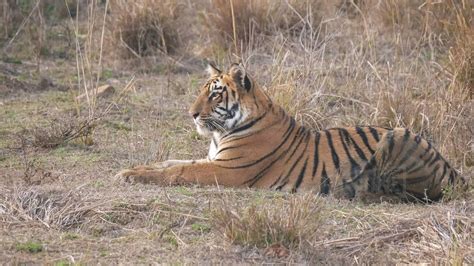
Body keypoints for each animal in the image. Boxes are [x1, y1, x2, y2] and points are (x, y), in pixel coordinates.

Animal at [116, 62, 464, 202]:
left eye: (215, 95)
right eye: (202, 91)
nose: (191, 114)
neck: (222, 132)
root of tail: (451, 167)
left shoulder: (228, 170)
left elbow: (177, 173)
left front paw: (132, 176)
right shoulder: (213, 159)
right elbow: (171, 163)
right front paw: (128, 171)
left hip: (399, 135)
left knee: (413, 194)